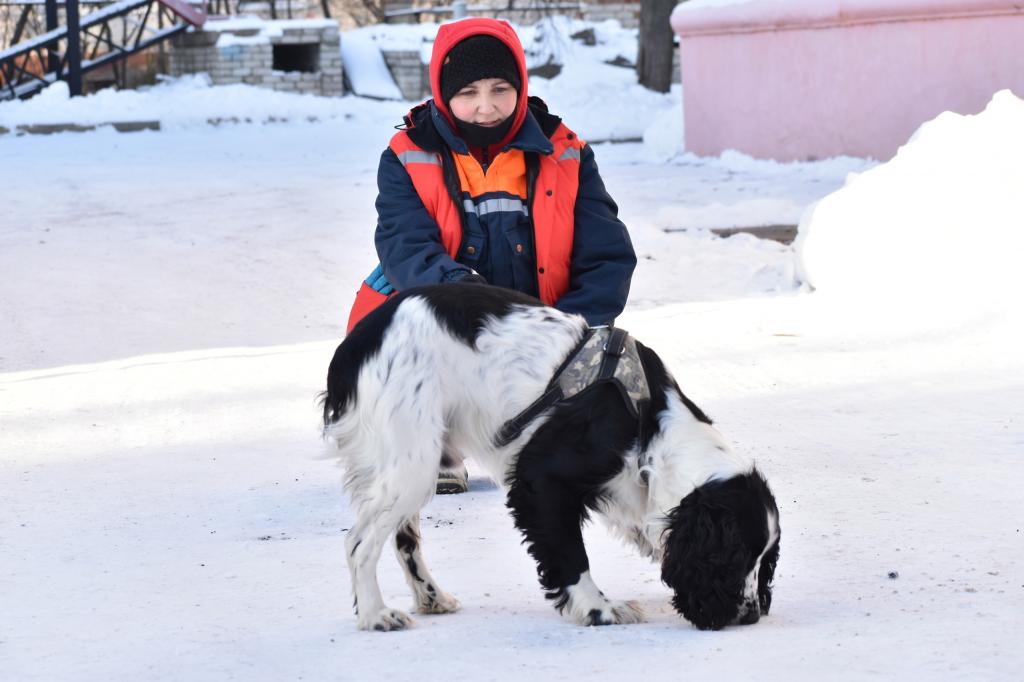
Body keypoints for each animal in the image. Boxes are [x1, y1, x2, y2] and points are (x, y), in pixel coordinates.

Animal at [322, 283, 780, 631]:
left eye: (765, 559)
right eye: (738, 554)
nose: (751, 614)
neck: (651, 424)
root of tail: (356, 342)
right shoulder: (541, 479)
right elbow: (572, 555)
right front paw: (600, 608)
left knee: (404, 538)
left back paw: (430, 597)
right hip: (413, 461)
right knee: (358, 542)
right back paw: (376, 614)